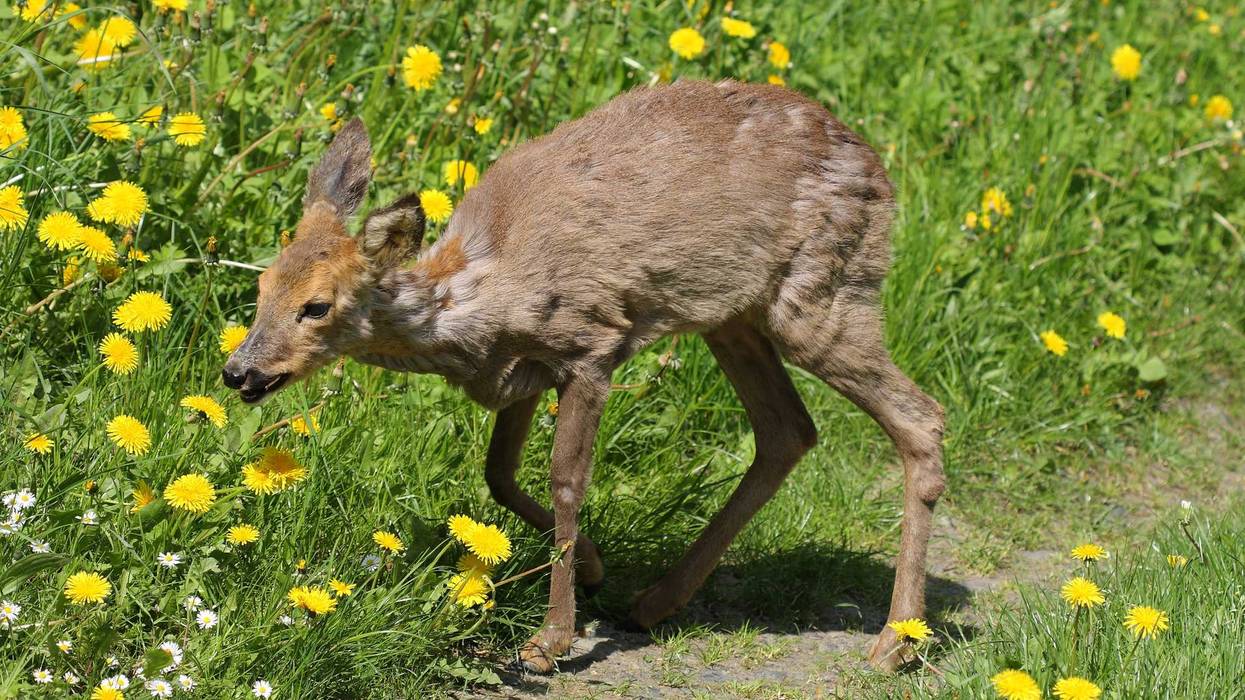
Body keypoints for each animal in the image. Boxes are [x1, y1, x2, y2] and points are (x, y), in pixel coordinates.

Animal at [222, 79, 945, 674]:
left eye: (316, 306)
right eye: (261, 286)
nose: (238, 371)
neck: (481, 290)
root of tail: (881, 177)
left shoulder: (591, 343)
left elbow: (568, 479)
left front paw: (549, 640)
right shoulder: (517, 372)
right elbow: (497, 473)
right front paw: (594, 566)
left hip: (823, 295)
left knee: (920, 417)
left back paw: (895, 644)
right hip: (734, 317)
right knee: (787, 430)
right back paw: (655, 601)